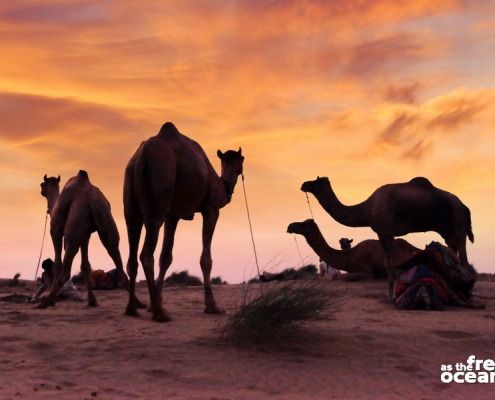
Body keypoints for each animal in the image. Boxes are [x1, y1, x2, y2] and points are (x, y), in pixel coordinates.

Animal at [40, 170, 143, 308]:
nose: (41, 189)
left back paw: (47, 301)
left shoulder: (56, 229)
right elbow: (86, 265)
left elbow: (57, 264)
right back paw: (138, 302)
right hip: (106, 218)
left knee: (67, 265)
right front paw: (92, 300)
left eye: (42, 184)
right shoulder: (85, 235)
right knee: (114, 248)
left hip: (74, 227)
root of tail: (93, 202)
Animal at [124, 122, 244, 322]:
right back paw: (160, 314)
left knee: (132, 252)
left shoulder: (172, 216)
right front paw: (212, 307)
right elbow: (206, 258)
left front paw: (153, 303)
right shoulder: (211, 209)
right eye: (242, 159)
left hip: (131, 204)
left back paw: (132, 309)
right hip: (157, 201)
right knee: (146, 254)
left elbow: (166, 257)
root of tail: (141, 159)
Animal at [300, 177, 474, 298]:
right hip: (447, 232)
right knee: (453, 252)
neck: (367, 208)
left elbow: (392, 264)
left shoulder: (388, 232)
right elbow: (387, 263)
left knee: (464, 258)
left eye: (315, 181)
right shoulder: (381, 233)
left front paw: (393, 295)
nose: (303, 184)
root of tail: (465, 207)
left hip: (458, 226)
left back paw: (468, 295)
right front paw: (389, 294)